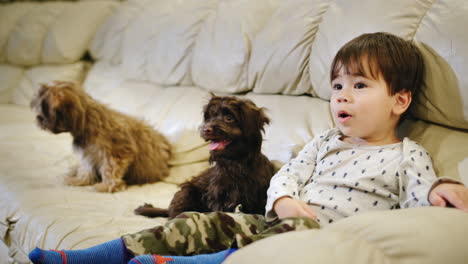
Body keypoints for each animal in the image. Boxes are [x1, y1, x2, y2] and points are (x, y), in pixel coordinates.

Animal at [32, 80, 173, 192]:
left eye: (44, 110)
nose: (38, 119)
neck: (86, 120)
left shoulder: (117, 151)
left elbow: (110, 168)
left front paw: (107, 185)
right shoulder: (88, 153)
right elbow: (86, 167)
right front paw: (82, 179)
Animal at [135, 95, 274, 219]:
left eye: (229, 118)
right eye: (210, 117)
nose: (205, 129)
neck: (235, 162)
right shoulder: (217, 196)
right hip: (186, 192)